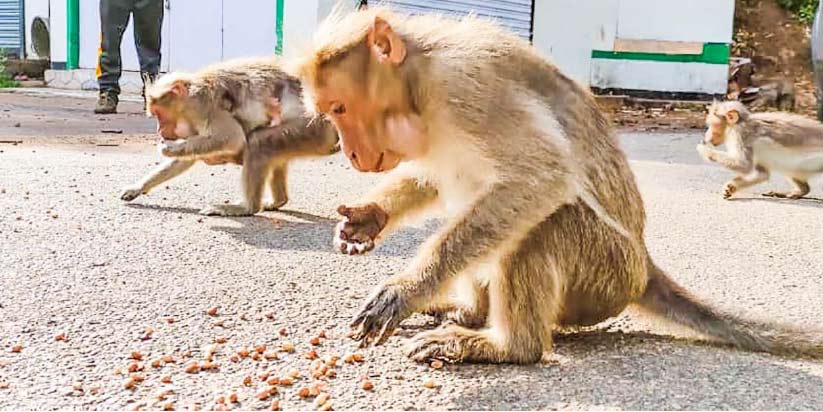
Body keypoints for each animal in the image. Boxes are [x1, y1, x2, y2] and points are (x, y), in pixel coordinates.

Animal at [122, 58, 340, 215]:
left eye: (160, 114)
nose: (159, 130)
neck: (191, 95)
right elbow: (185, 160)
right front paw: (138, 187)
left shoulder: (203, 108)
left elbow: (233, 138)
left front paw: (170, 148)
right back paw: (278, 200)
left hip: (314, 130)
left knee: (258, 143)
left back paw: (247, 208)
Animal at [295, 8, 823, 364]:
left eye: (339, 108)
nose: (351, 153)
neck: (420, 85)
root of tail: (643, 266)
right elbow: (432, 176)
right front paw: (368, 219)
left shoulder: (465, 83)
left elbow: (542, 176)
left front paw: (406, 289)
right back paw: (470, 311)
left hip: (604, 276)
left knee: (544, 220)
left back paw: (508, 346)